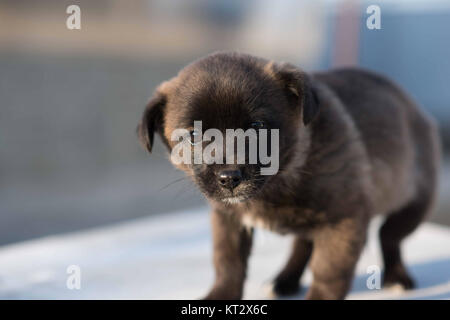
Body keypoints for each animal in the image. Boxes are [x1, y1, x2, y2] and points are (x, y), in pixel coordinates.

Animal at [136, 51, 440, 298]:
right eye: (193, 135)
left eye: (257, 127)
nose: (229, 178)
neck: (278, 180)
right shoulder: (228, 219)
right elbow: (228, 263)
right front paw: (220, 296)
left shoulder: (344, 221)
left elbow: (329, 272)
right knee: (302, 244)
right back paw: (285, 280)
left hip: (415, 202)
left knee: (390, 235)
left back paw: (396, 276)